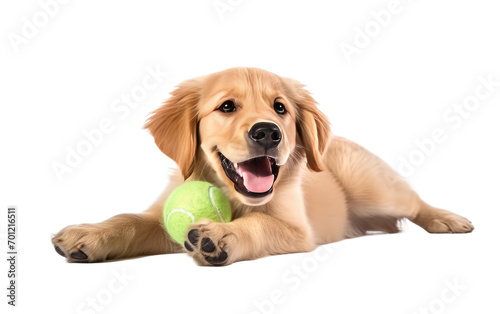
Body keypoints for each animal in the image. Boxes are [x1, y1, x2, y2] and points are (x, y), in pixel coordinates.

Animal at [52, 67, 474, 266]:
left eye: (280, 108)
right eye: (226, 106)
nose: (268, 132)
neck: (235, 196)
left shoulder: (296, 230)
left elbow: (259, 224)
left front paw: (220, 235)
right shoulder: (162, 217)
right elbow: (130, 219)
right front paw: (89, 234)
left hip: (374, 187)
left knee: (413, 202)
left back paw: (448, 219)